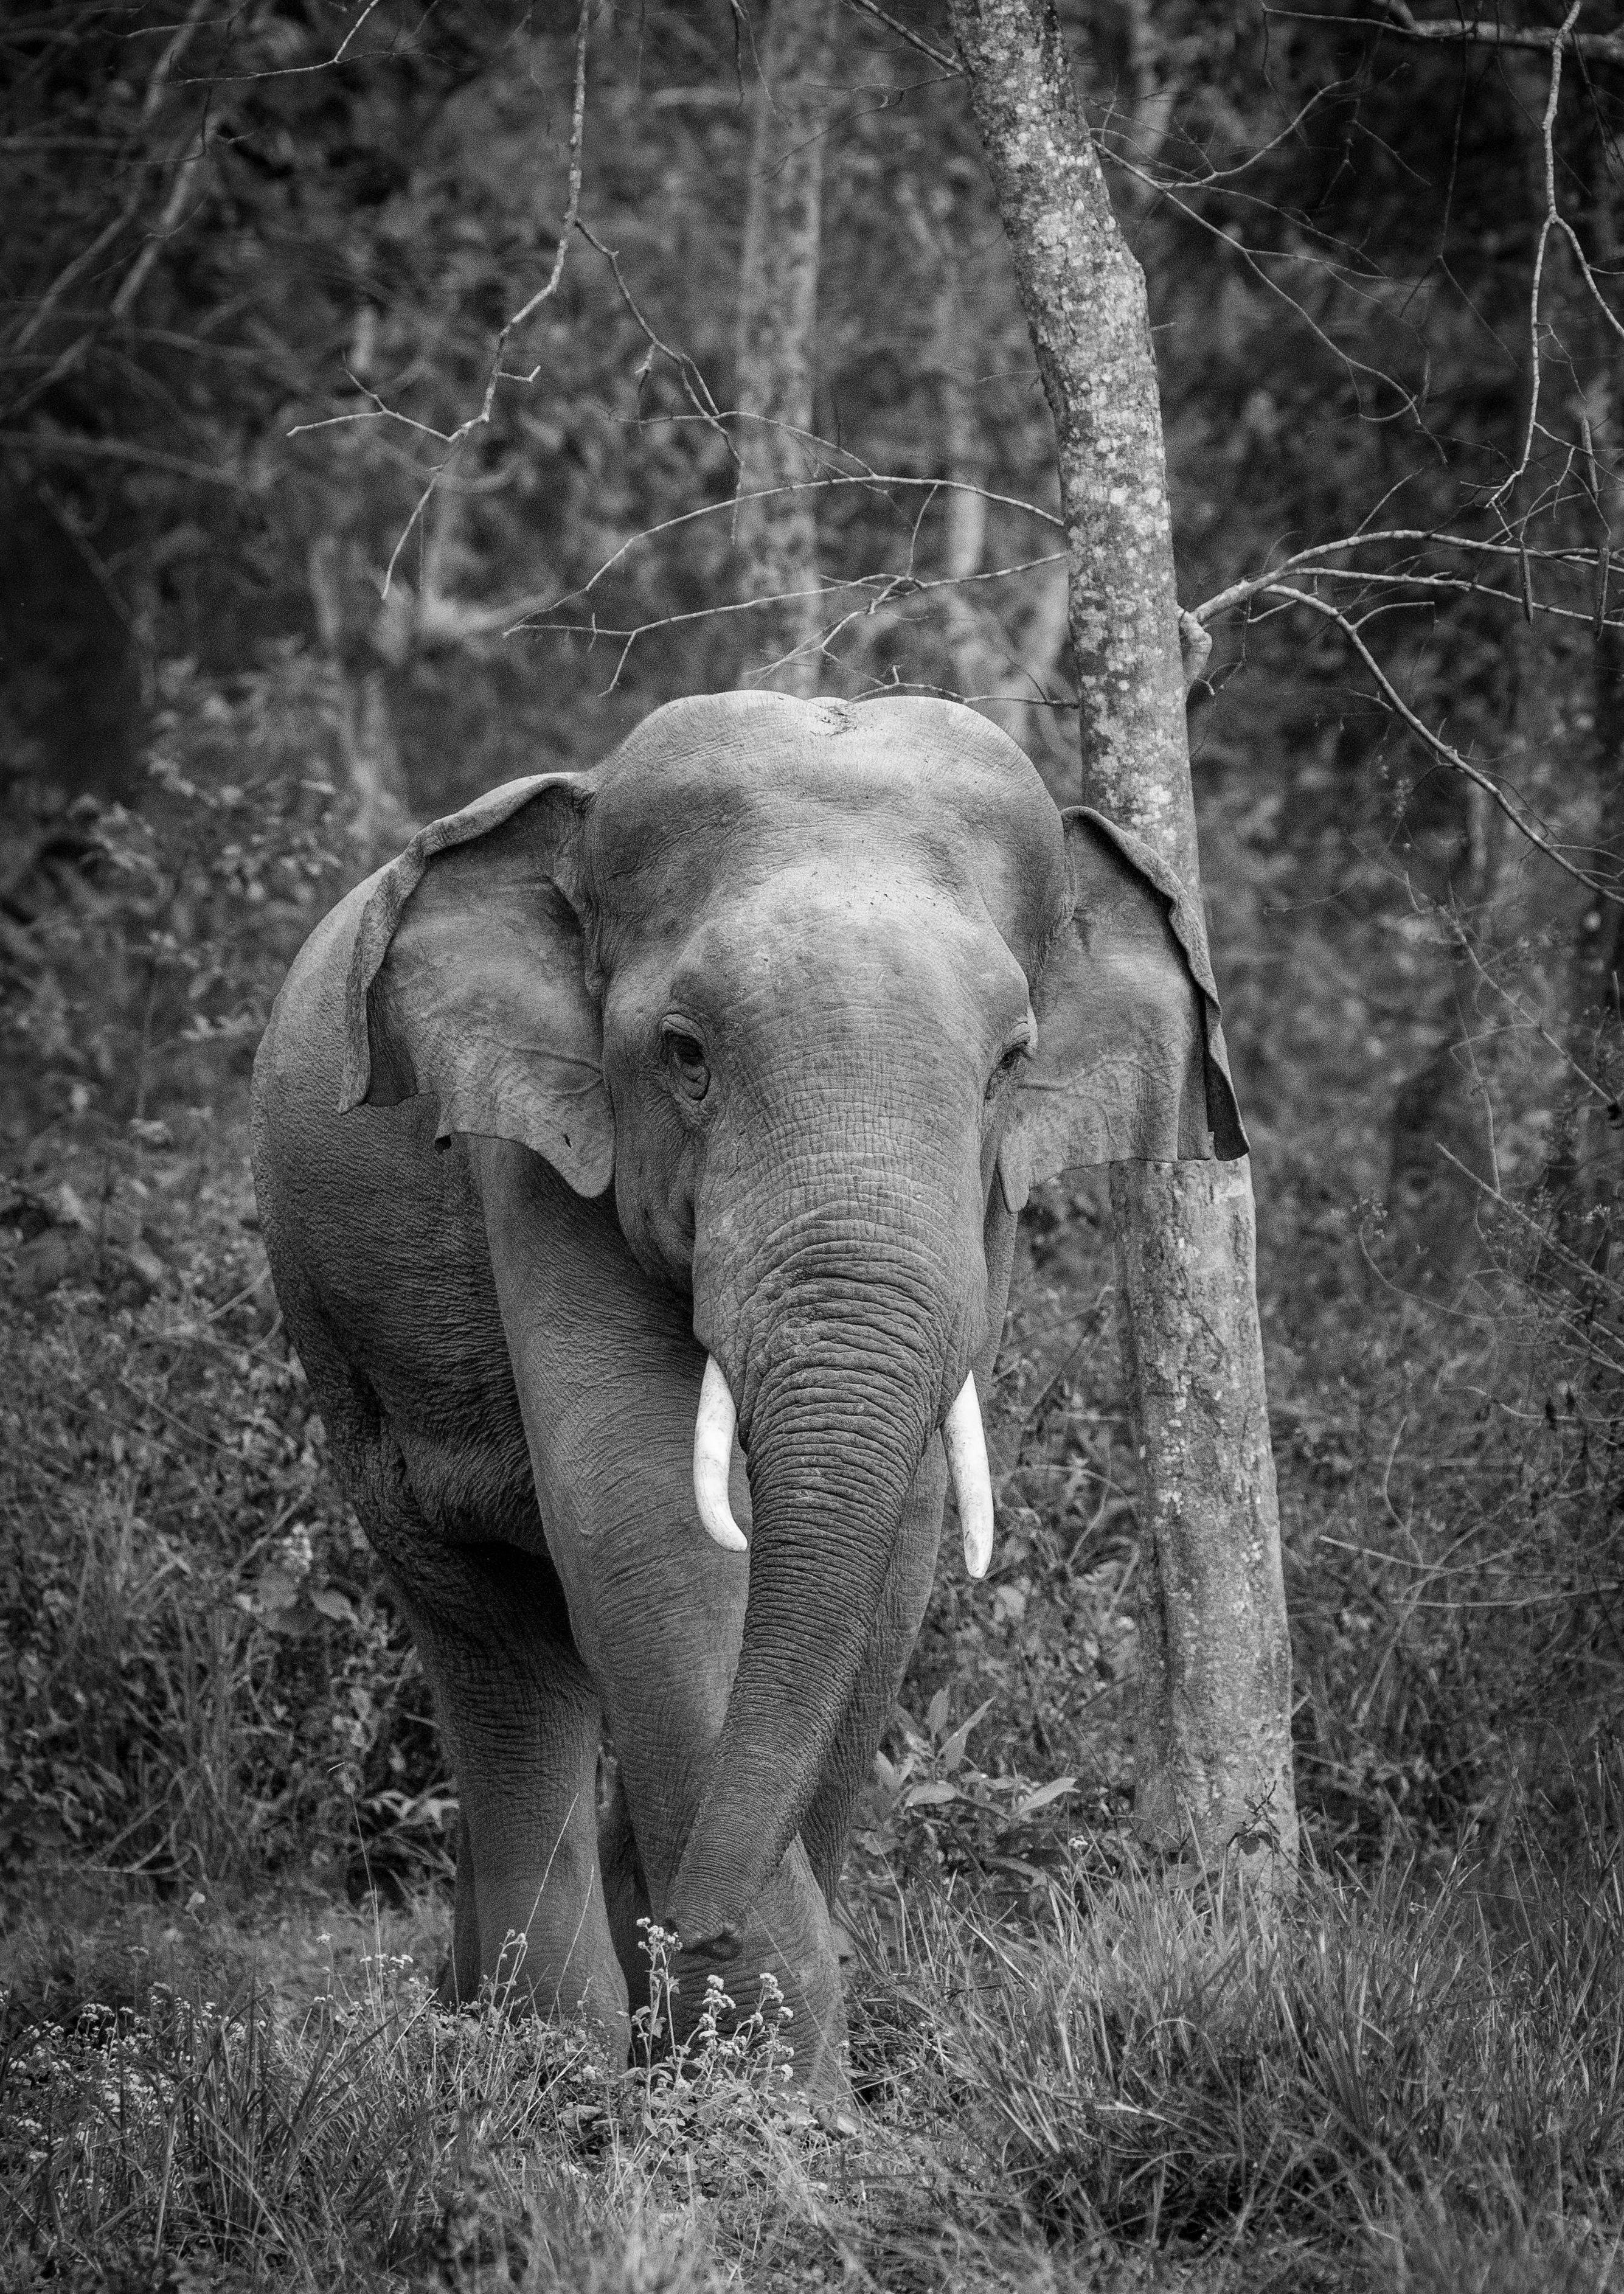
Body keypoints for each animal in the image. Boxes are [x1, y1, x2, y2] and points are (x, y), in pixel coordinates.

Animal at [250, 688, 1247, 2092]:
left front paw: (743, 2072)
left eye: (1011, 1062)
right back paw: (549, 2062)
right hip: (345, 1361)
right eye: (683, 1052)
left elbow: (896, 1552)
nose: (699, 1923)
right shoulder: (541, 1153)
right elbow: (650, 1522)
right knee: (497, 1642)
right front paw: (769, 2098)